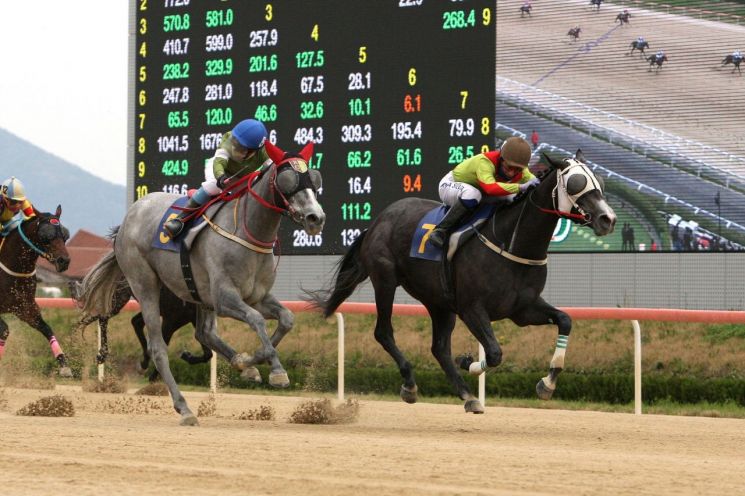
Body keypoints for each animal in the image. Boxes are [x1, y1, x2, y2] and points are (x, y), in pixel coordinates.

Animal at [0, 207, 72, 378]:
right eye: (46, 236)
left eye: (65, 235)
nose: (64, 261)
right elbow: (4, 330)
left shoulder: (25, 308)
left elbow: (46, 328)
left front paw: (64, 365)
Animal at [79, 140, 326, 426]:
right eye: (288, 179)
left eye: (314, 178)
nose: (315, 218)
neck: (246, 231)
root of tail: (132, 213)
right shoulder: (224, 298)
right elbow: (256, 320)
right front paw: (276, 370)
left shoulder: (257, 297)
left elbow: (286, 319)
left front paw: (247, 361)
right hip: (145, 284)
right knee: (158, 346)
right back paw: (184, 407)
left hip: (196, 295)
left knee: (204, 333)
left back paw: (242, 367)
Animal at [306, 152, 612, 414]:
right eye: (576, 183)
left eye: (599, 182)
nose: (607, 219)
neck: (511, 242)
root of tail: (378, 220)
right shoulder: (472, 308)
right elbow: (495, 352)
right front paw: (468, 361)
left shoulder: (523, 309)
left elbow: (565, 320)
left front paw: (547, 383)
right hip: (386, 280)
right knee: (384, 332)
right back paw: (410, 385)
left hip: (438, 301)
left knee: (439, 348)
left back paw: (468, 396)